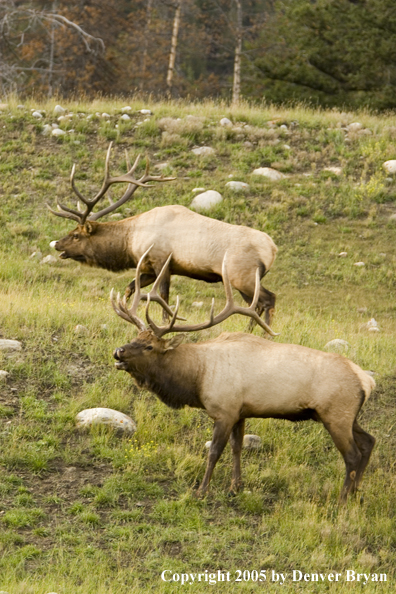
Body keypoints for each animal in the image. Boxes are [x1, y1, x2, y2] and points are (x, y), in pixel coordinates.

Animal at [48, 144, 278, 328]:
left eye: (76, 235)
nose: (57, 244)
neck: (131, 241)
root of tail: (273, 249)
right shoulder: (149, 267)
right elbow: (130, 288)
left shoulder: (162, 261)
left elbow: (164, 297)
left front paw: (162, 323)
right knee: (256, 304)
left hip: (242, 275)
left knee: (268, 299)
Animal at [110, 245, 374, 500]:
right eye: (135, 338)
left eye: (149, 347)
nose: (118, 352)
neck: (197, 378)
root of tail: (366, 381)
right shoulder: (240, 411)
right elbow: (237, 448)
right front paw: (234, 487)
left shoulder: (224, 410)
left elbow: (215, 451)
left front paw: (202, 491)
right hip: (347, 415)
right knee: (369, 442)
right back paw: (357, 492)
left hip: (336, 413)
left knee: (352, 454)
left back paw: (342, 499)